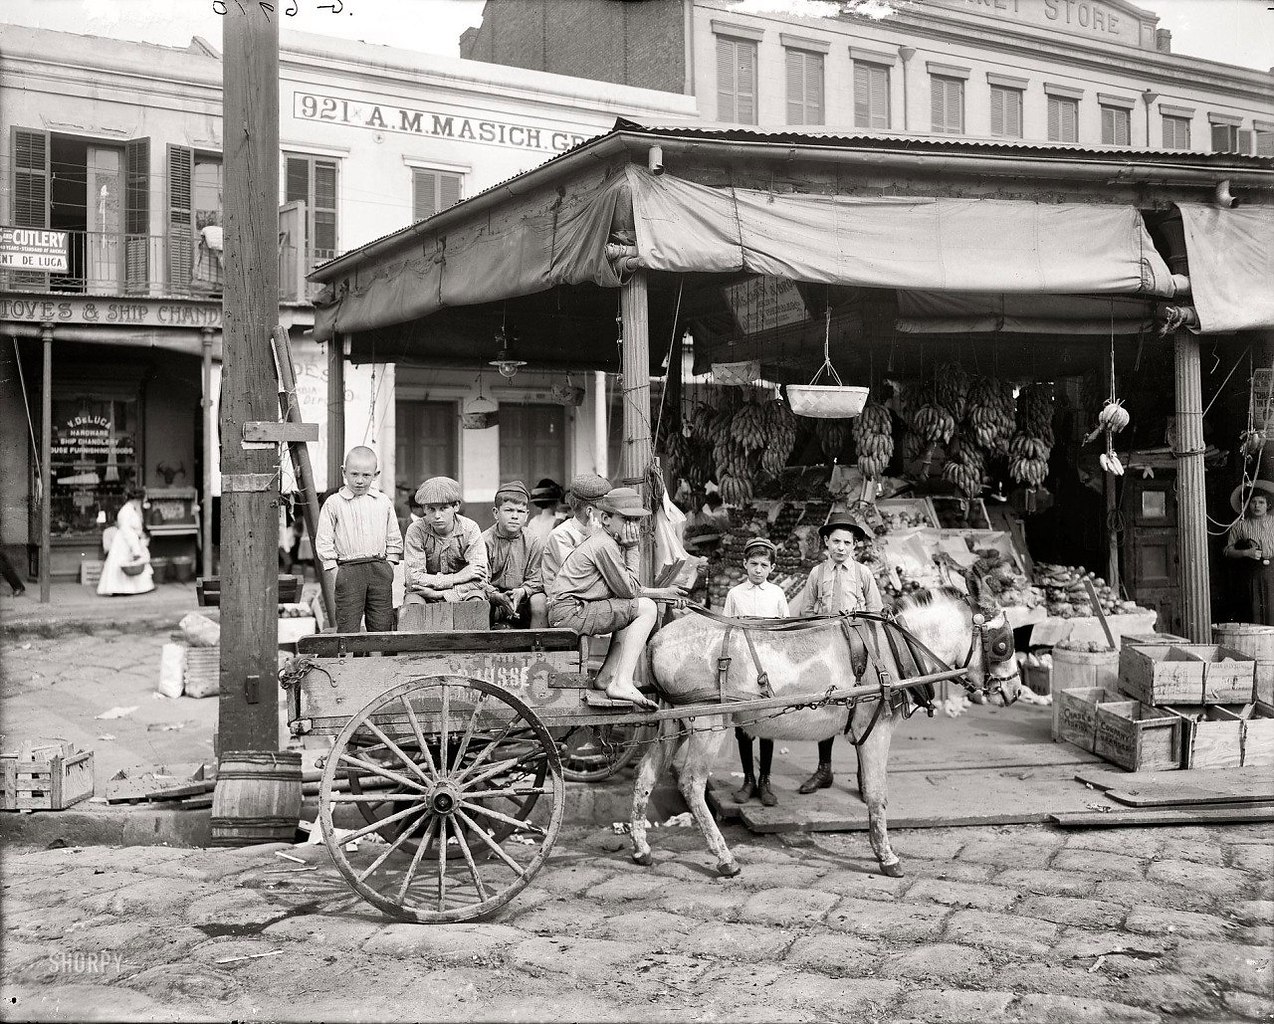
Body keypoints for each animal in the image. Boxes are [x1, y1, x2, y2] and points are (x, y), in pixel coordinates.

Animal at [629, 575, 1024, 881]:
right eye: (1003, 644)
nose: (1016, 691)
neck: (893, 647)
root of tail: (657, 639)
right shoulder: (877, 729)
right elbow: (877, 794)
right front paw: (887, 857)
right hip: (709, 723)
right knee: (691, 783)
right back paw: (725, 859)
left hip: (673, 720)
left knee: (646, 774)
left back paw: (641, 849)